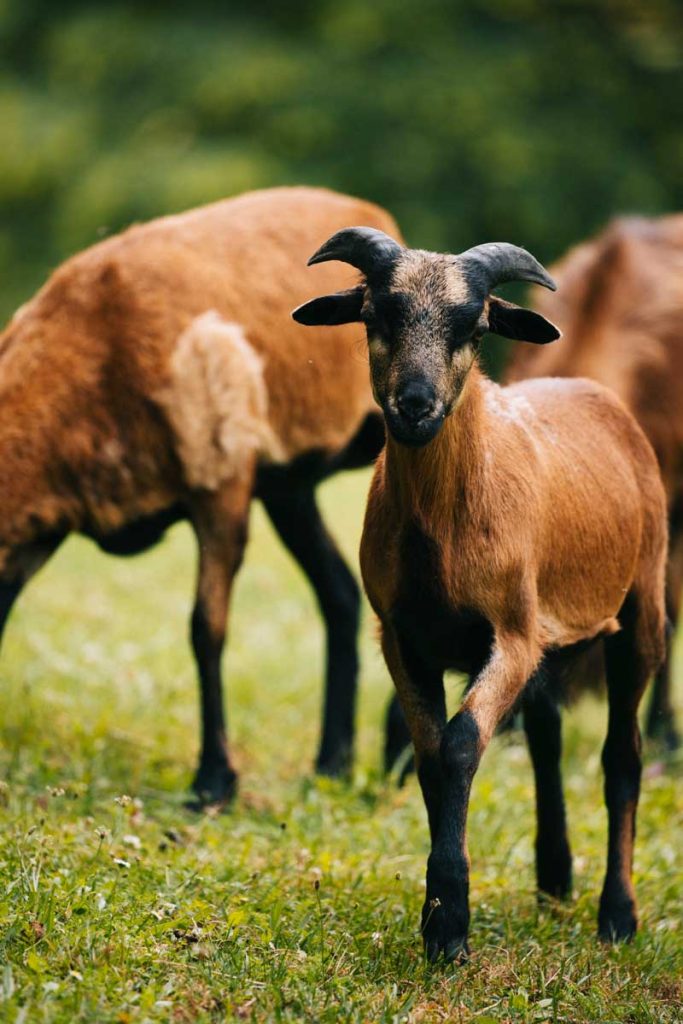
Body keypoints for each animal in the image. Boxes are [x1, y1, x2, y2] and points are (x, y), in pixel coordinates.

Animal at [0, 186, 403, 805]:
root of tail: (374, 212)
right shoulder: (36, 528)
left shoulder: (221, 483)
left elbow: (204, 628)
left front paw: (214, 781)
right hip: (289, 484)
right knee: (339, 591)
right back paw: (332, 763)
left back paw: (396, 752)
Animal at [293, 227, 667, 960]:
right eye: (375, 316)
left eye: (473, 327)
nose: (413, 405)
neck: (439, 534)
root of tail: (591, 390)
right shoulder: (402, 638)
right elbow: (431, 753)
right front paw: (441, 912)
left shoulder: (511, 632)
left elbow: (462, 743)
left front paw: (448, 929)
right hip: (551, 634)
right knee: (548, 736)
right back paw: (554, 881)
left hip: (641, 610)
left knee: (622, 757)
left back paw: (617, 915)